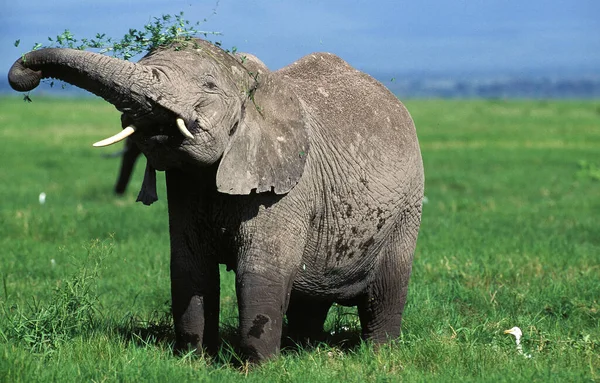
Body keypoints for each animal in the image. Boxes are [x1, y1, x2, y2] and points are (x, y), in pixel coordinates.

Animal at [7, 37, 424, 362]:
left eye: (208, 85)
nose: (24, 72)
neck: (253, 88)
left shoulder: (288, 187)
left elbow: (260, 271)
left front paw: (257, 369)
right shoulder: (185, 183)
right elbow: (190, 269)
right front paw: (193, 361)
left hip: (408, 206)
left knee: (387, 288)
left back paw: (379, 357)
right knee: (311, 297)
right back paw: (302, 350)